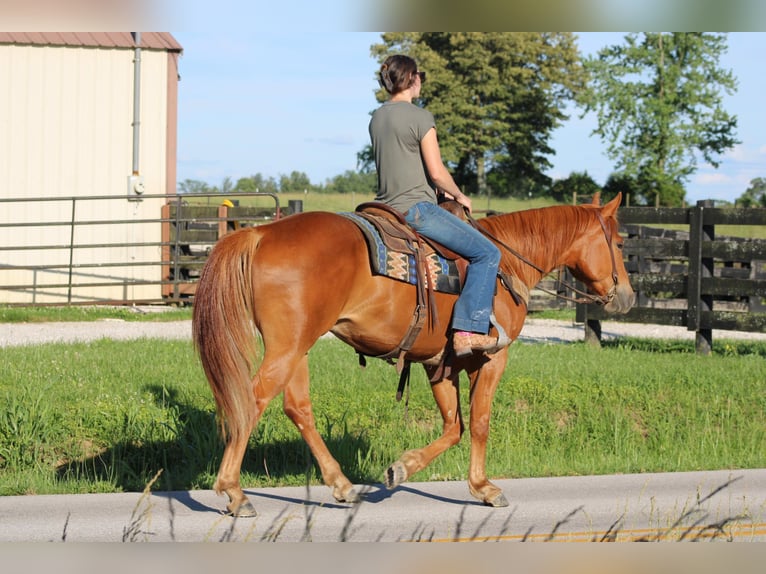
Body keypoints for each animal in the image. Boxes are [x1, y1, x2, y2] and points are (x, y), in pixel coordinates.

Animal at [191, 192, 634, 516]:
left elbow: (455, 426)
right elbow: (479, 423)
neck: (506, 264)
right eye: (617, 242)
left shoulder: (439, 364)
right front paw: (485, 488)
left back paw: (342, 485)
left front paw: (402, 468)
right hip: (288, 348)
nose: (628, 297)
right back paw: (234, 492)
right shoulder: (491, 359)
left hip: (296, 346)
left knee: (297, 408)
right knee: (252, 401)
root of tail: (261, 233)